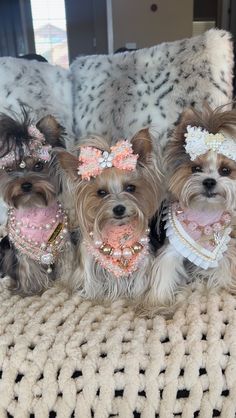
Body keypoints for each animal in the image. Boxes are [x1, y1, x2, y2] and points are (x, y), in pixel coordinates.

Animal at [0, 109, 75, 296]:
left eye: (39, 166)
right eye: (9, 169)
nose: (26, 184)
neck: (35, 207)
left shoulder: (64, 243)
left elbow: (68, 262)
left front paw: (66, 283)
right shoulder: (21, 250)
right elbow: (28, 266)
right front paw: (32, 289)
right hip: (6, 248)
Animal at [144, 104, 236, 310]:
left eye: (225, 170)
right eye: (196, 169)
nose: (209, 181)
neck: (204, 211)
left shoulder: (223, 249)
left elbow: (225, 267)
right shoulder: (172, 248)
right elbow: (165, 273)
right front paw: (158, 303)